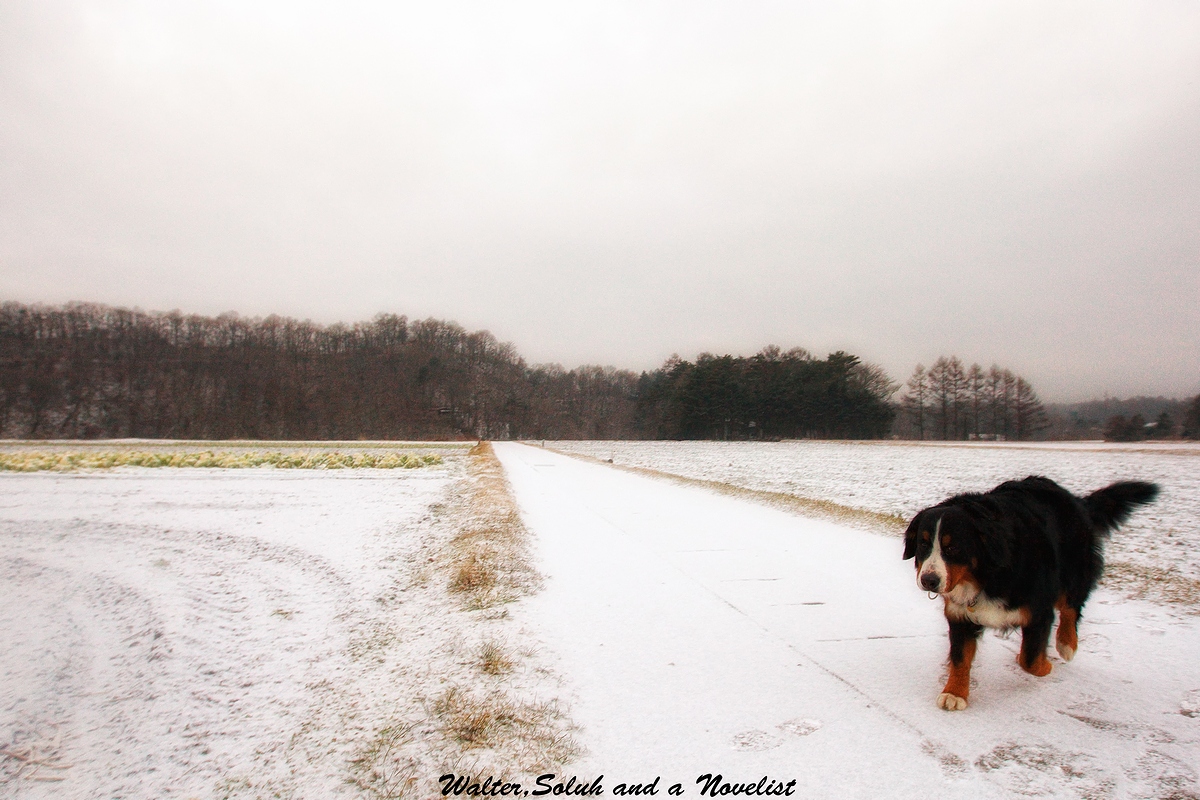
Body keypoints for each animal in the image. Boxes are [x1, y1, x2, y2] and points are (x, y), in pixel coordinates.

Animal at [902, 472, 1156, 710]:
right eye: (923, 544)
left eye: (953, 547)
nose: (929, 580)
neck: (986, 575)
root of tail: (1075, 499)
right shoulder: (960, 614)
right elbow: (960, 656)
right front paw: (955, 693)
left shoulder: (1038, 610)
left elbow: (1030, 659)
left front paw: (1046, 665)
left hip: (1072, 570)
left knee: (1071, 606)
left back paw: (1067, 645)